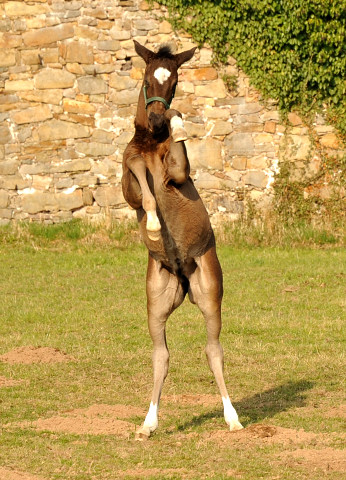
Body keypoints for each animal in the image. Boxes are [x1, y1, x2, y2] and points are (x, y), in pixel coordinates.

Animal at [121, 41, 243, 438]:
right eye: (147, 78)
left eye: (173, 81)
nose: (158, 119)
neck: (151, 142)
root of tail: (184, 276)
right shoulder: (128, 185)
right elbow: (138, 175)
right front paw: (153, 224)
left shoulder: (178, 174)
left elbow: (171, 166)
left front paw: (178, 123)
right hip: (158, 300)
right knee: (161, 355)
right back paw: (148, 423)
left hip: (209, 291)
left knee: (213, 350)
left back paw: (233, 418)